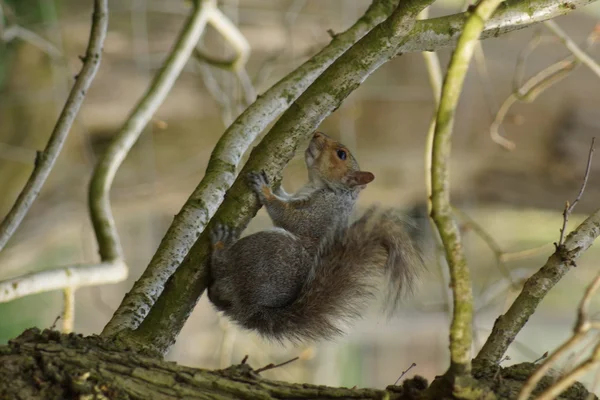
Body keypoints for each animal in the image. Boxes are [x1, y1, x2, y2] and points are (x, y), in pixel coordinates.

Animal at [209, 132, 424, 344]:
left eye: (341, 154)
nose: (316, 134)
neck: (324, 187)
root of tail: (251, 310)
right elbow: (284, 196)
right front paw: (276, 182)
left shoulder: (320, 212)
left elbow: (289, 218)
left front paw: (265, 190)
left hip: (269, 250)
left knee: (225, 268)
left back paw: (220, 247)